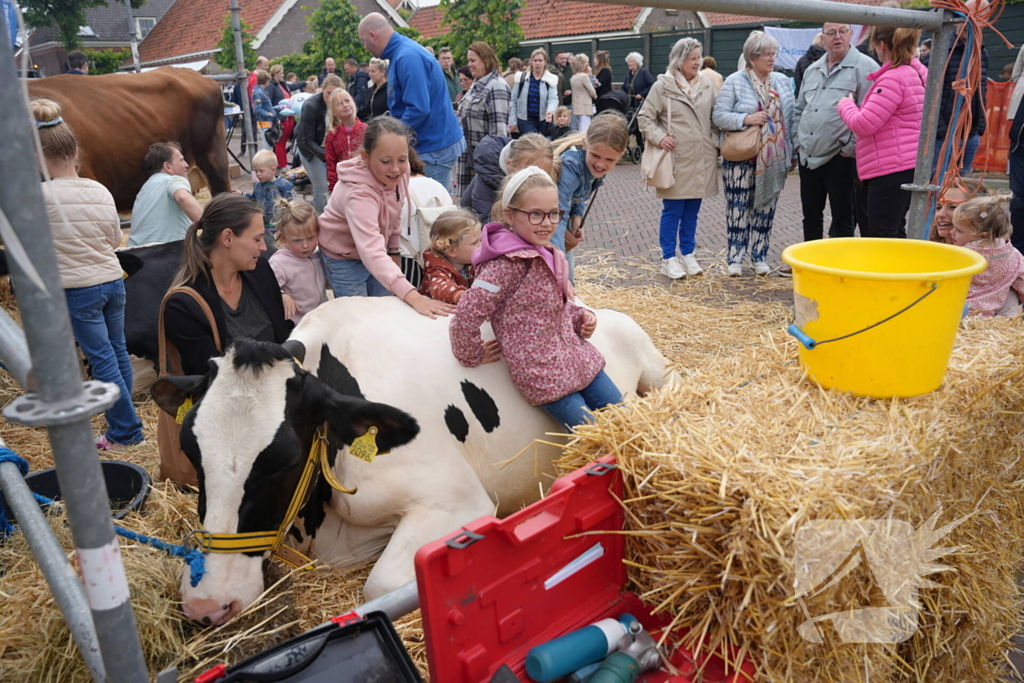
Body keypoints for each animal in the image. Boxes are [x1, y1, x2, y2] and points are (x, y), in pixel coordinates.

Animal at [153, 294, 679, 626]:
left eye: (283, 460)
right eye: (192, 453)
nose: (207, 604)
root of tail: (594, 309)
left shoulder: (458, 501)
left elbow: (380, 585)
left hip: (660, 373)